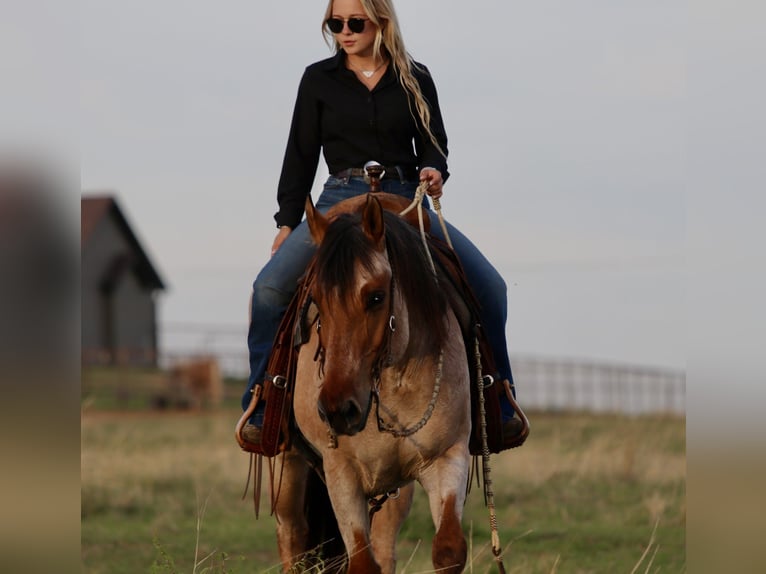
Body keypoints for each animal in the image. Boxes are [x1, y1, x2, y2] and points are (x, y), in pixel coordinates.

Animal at [272, 192, 472, 574]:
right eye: (316, 300)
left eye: (376, 297)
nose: (338, 410)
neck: (392, 385)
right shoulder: (341, 473)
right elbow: (362, 562)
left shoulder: (447, 457)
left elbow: (448, 549)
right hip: (288, 469)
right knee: (293, 540)